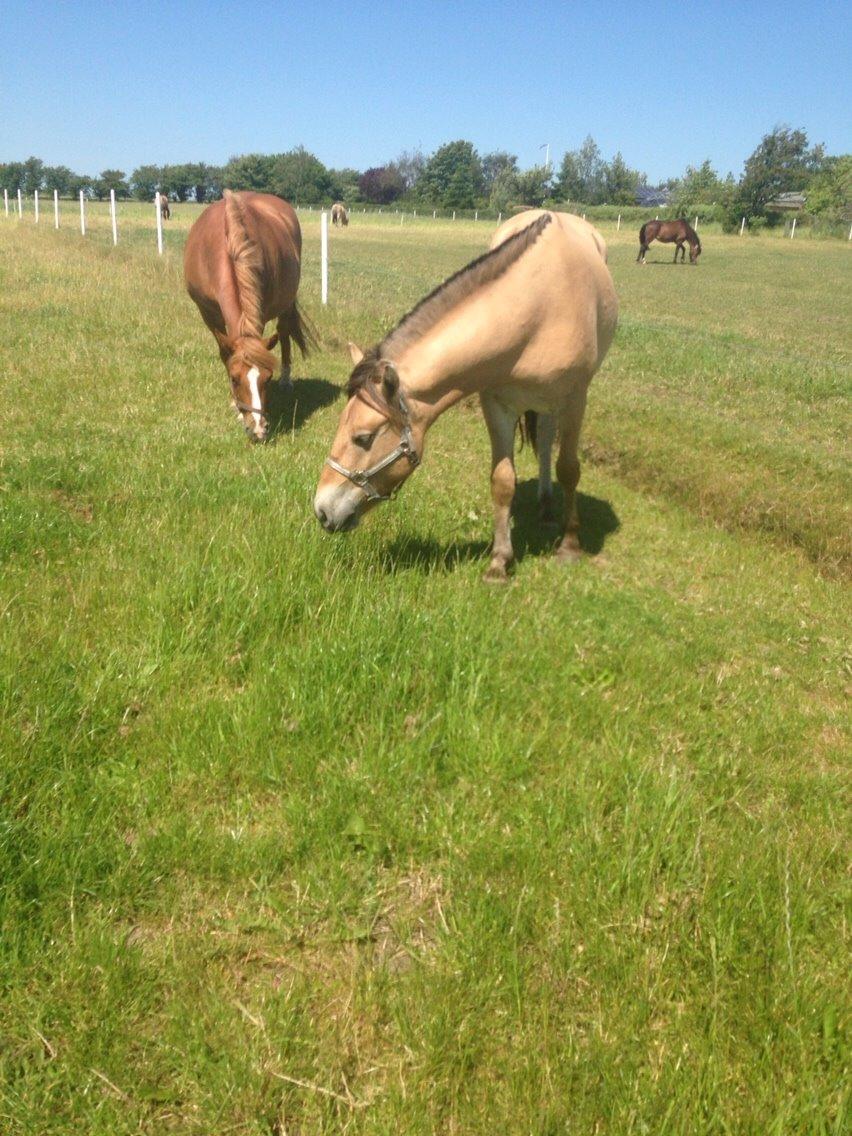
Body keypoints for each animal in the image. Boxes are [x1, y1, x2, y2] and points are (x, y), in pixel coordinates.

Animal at [184, 190, 313, 438]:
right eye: (234, 379)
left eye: (267, 379)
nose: (258, 429)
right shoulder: (207, 314)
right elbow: (223, 352)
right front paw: (235, 405)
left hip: (286, 302)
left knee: (284, 332)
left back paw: (286, 379)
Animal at [313, 211, 622, 586]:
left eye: (363, 438)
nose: (322, 511)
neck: (536, 312)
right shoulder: (496, 403)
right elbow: (502, 481)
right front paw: (499, 562)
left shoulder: (575, 399)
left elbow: (569, 469)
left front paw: (570, 545)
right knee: (545, 439)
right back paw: (546, 507)